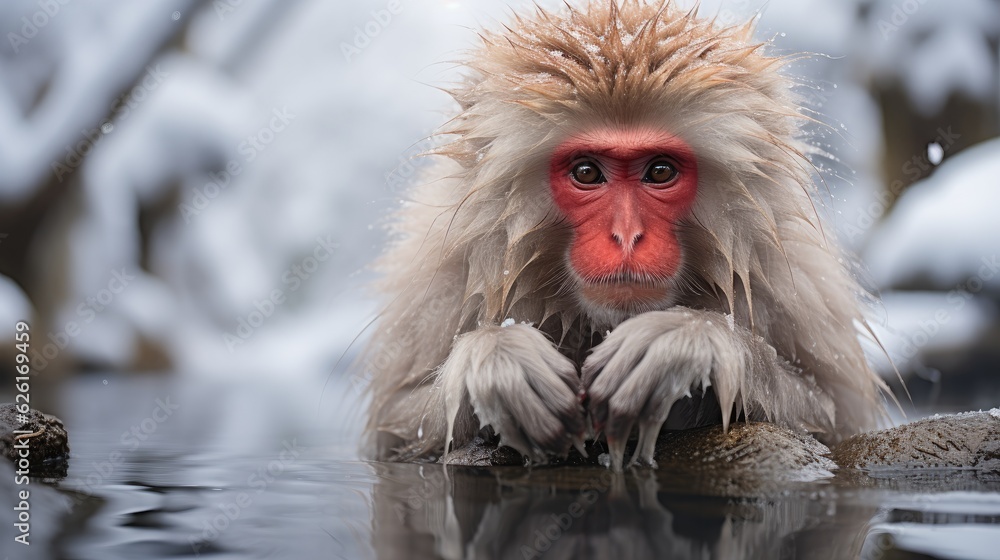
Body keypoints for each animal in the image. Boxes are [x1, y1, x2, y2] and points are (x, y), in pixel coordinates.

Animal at [361, 0, 890, 472]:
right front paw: (498, 359)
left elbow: (838, 418)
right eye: (587, 173)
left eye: (659, 171)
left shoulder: (791, 276)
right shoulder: (442, 275)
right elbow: (391, 433)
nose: (627, 236)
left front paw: (688, 341)